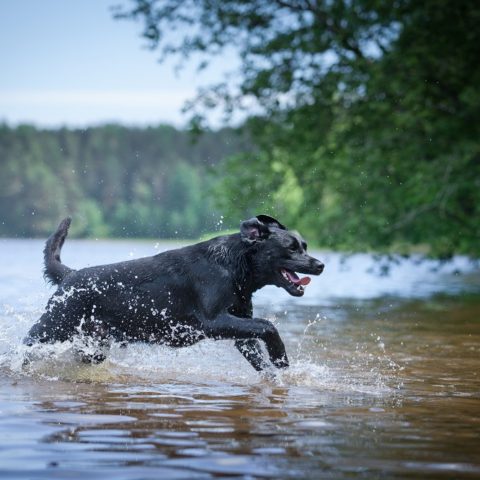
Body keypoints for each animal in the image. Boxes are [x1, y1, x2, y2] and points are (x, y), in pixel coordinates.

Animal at [24, 215, 324, 372]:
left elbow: (258, 344)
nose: (320, 264)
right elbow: (268, 325)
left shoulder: (240, 326)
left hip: (93, 344)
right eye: (291, 248)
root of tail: (69, 275)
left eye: (305, 245)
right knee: (27, 344)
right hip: (52, 326)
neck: (233, 265)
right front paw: (280, 356)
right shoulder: (213, 321)